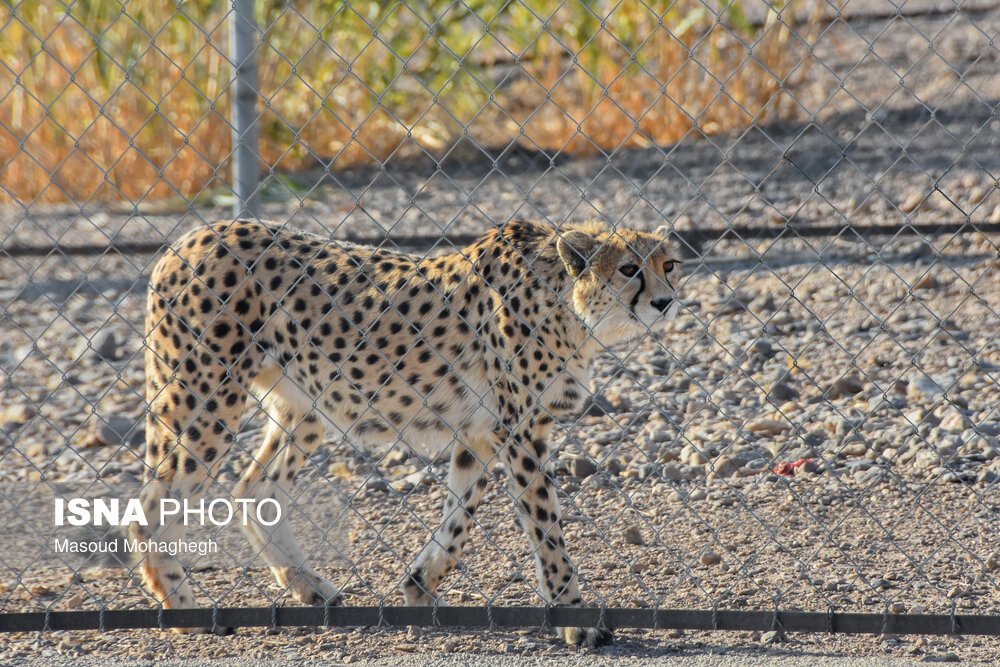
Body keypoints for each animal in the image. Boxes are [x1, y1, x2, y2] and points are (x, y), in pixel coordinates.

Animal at [135, 219, 680, 648]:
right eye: (628, 268)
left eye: (669, 264)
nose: (664, 302)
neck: (569, 304)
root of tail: (189, 237)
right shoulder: (519, 432)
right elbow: (545, 527)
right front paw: (575, 616)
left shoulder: (479, 433)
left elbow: (459, 519)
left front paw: (419, 584)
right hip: (204, 401)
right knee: (151, 506)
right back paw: (186, 610)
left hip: (303, 408)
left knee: (254, 488)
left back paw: (310, 586)